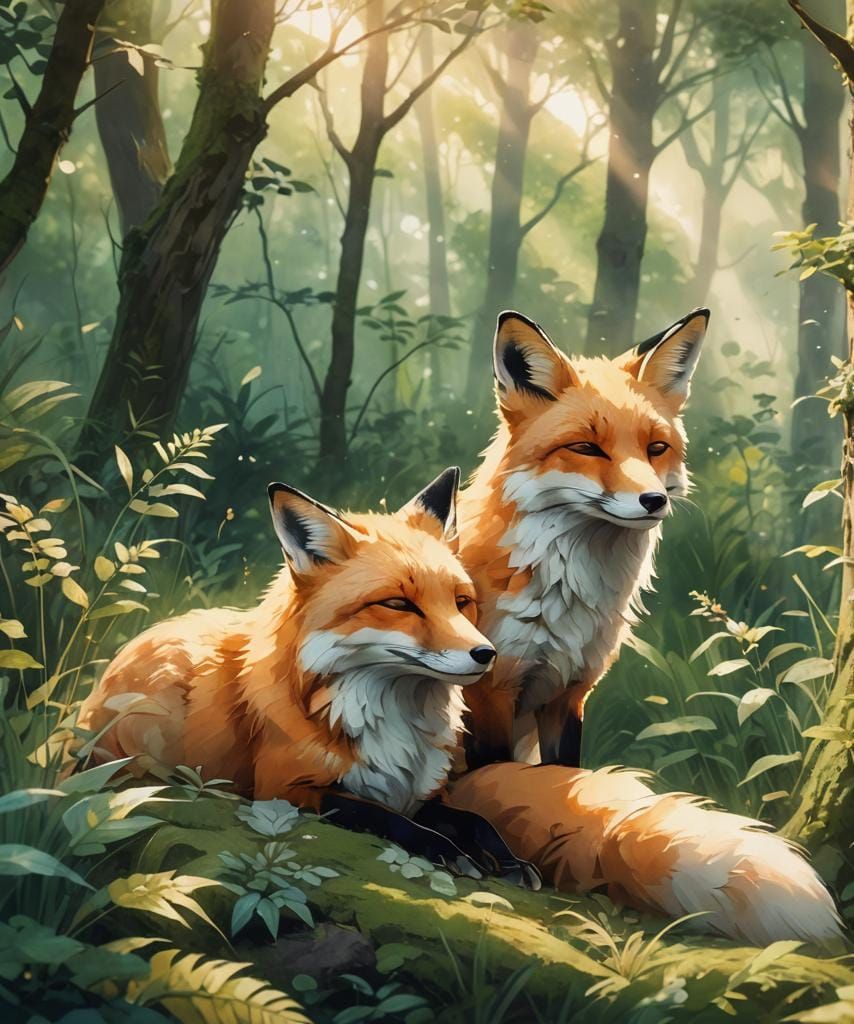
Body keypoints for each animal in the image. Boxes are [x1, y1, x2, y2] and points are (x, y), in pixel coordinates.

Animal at [76, 469, 537, 884]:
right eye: (398, 604)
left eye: (461, 602)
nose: (486, 654)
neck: (392, 721)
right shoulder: (285, 789)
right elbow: (382, 815)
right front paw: (449, 850)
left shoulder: (419, 790)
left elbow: (474, 819)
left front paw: (508, 858)